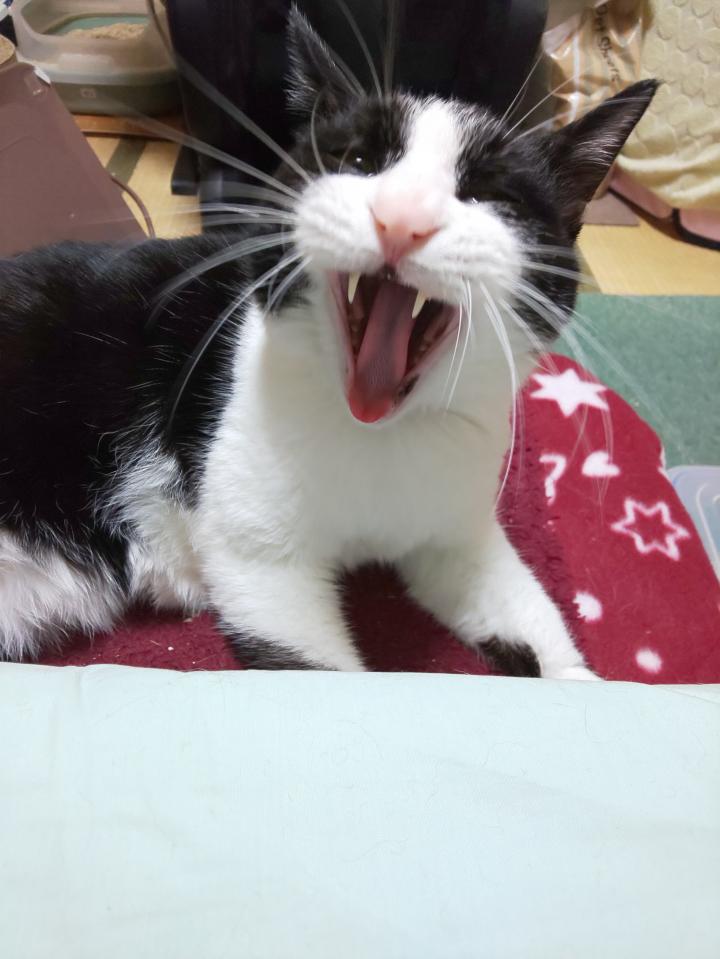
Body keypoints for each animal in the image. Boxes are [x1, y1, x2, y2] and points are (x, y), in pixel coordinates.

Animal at [0, 8, 656, 675]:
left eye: (489, 195)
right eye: (360, 160)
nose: (402, 218)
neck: (380, 437)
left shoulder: (457, 528)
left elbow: (534, 625)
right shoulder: (263, 562)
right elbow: (323, 678)